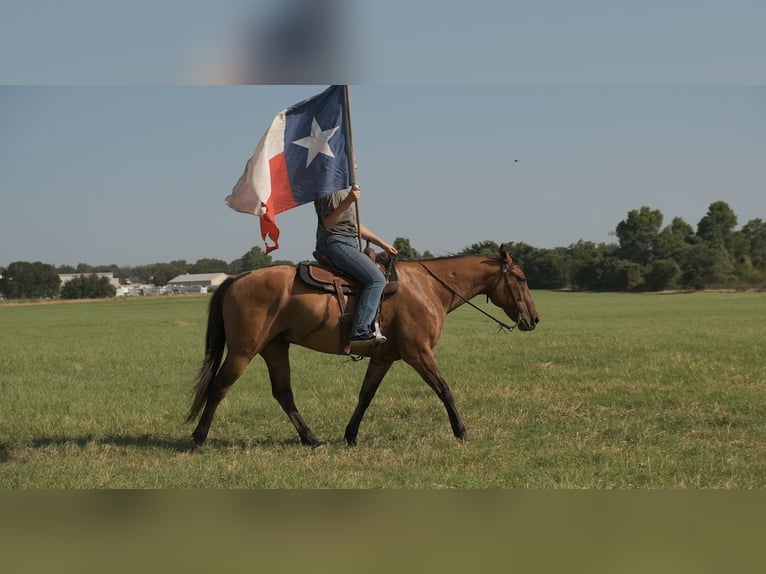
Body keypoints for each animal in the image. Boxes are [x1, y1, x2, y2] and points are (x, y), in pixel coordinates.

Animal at [186, 250, 540, 448]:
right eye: (522, 278)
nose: (534, 319)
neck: (427, 288)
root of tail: (237, 278)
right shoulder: (418, 353)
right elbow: (444, 389)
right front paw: (461, 431)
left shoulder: (384, 358)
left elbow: (366, 395)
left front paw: (350, 435)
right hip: (243, 352)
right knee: (218, 388)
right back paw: (198, 438)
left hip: (274, 348)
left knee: (283, 394)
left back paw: (311, 439)